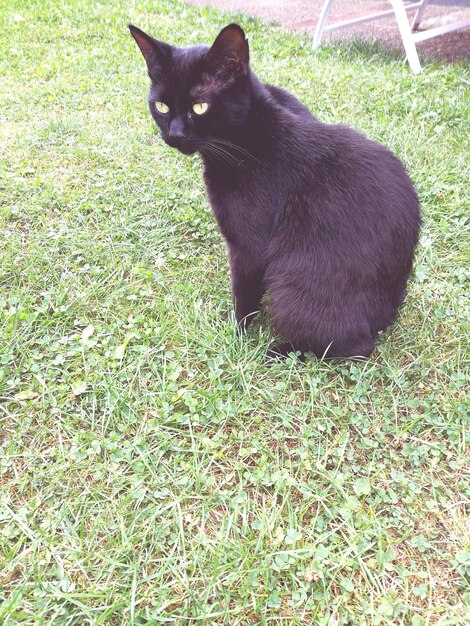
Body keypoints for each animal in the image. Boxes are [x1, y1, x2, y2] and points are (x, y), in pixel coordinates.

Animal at [127, 23, 418, 356]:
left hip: (292, 286)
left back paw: (278, 351)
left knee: (354, 346)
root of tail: (385, 319)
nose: (174, 135)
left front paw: (235, 335)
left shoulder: (248, 246)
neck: (248, 138)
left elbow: (244, 296)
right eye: (161, 106)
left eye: (200, 107)